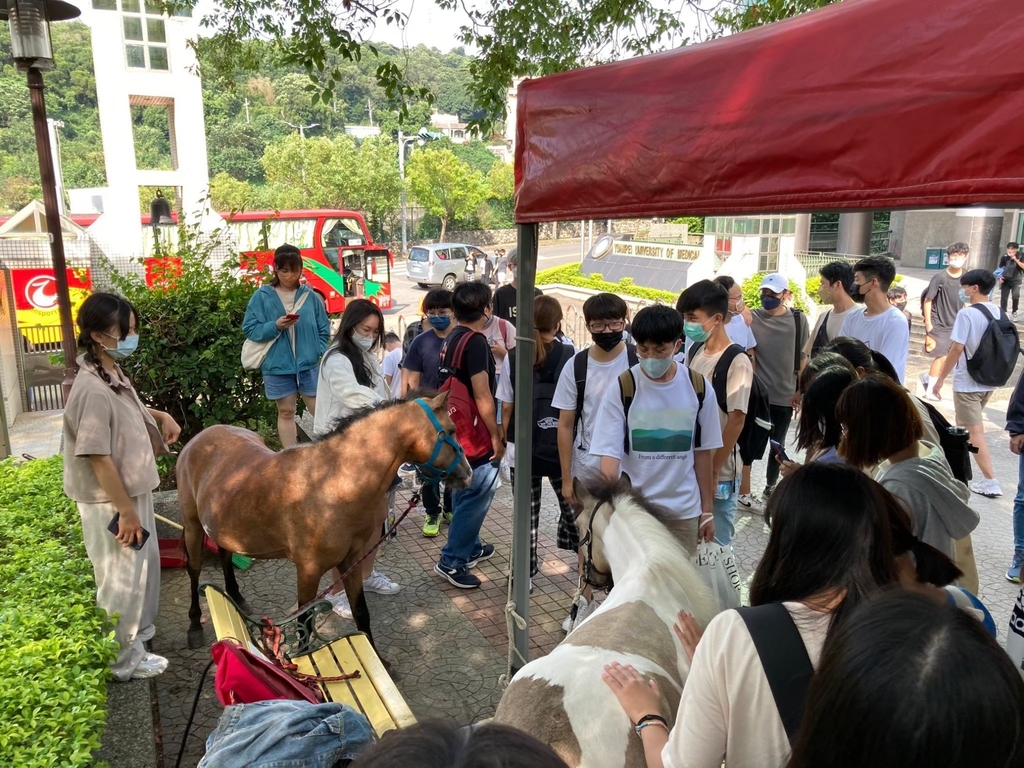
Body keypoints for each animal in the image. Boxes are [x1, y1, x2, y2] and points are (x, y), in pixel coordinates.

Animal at [176, 393, 471, 651]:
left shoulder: (351, 561)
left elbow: (361, 611)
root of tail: (199, 438)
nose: (467, 474)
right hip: (192, 526)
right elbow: (304, 624)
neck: (330, 483)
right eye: (452, 430)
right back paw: (194, 626)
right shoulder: (308, 571)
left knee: (226, 554)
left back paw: (236, 598)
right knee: (194, 569)